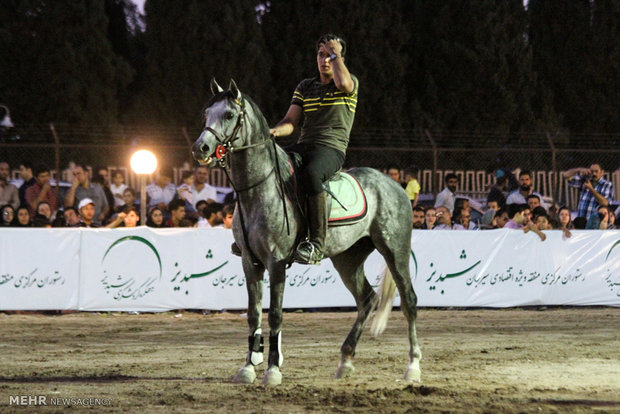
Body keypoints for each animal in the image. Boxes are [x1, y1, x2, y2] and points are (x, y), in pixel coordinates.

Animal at [190, 79, 422, 386]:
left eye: (228, 115)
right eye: (206, 113)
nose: (200, 148)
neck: (259, 188)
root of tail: (394, 185)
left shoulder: (276, 262)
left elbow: (275, 315)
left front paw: (272, 371)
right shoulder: (250, 263)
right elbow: (253, 315)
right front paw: (248, 367)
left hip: (395, 251)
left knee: (409, 301)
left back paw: (413, 366)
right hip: (348, 259)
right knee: (366, 299)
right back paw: (345, 360)